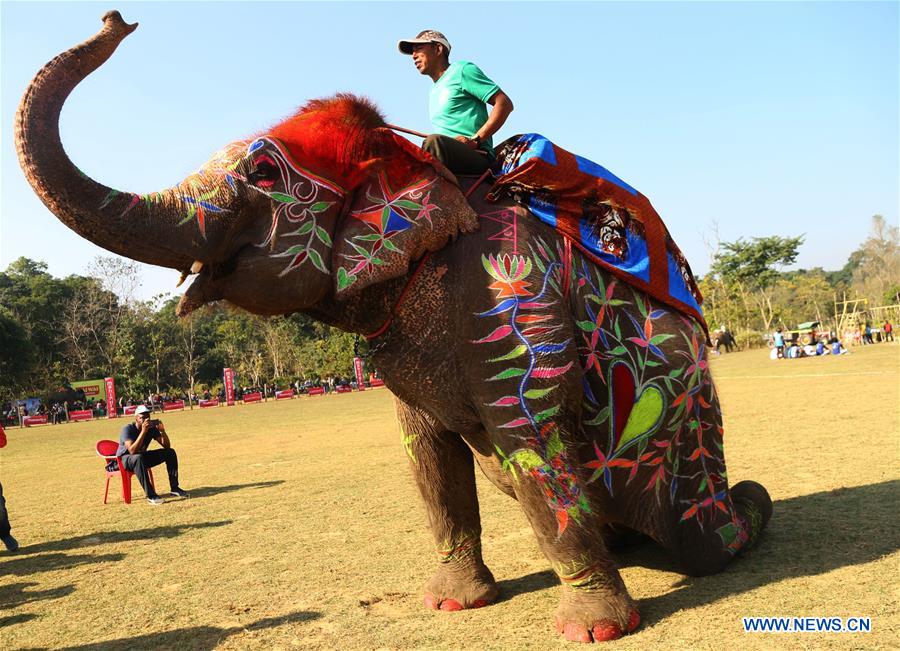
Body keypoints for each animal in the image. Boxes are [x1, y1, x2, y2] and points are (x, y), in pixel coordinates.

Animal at [15, 12, 772, 644]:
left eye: (262, 171)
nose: (118, 20)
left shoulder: (512, 296)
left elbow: (532, 438)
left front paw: (594, 631)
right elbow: (425, 451)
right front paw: (451, 603)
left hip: (680, 457)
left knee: (700, 540)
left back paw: (748, 511)